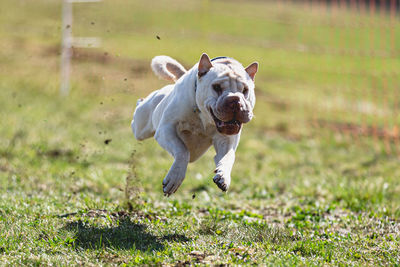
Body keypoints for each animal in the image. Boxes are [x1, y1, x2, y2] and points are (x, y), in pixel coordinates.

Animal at [130, 53, 258, 196]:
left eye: (245, 90)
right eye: (216, 87)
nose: (235, 100)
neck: (205, 119)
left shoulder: (226, 141)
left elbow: (228, 157)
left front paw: (223, 176)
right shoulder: (166, 129)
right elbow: (182, 151)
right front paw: (174, 178)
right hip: (141, 127)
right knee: (138, 117)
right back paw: (139, 101)